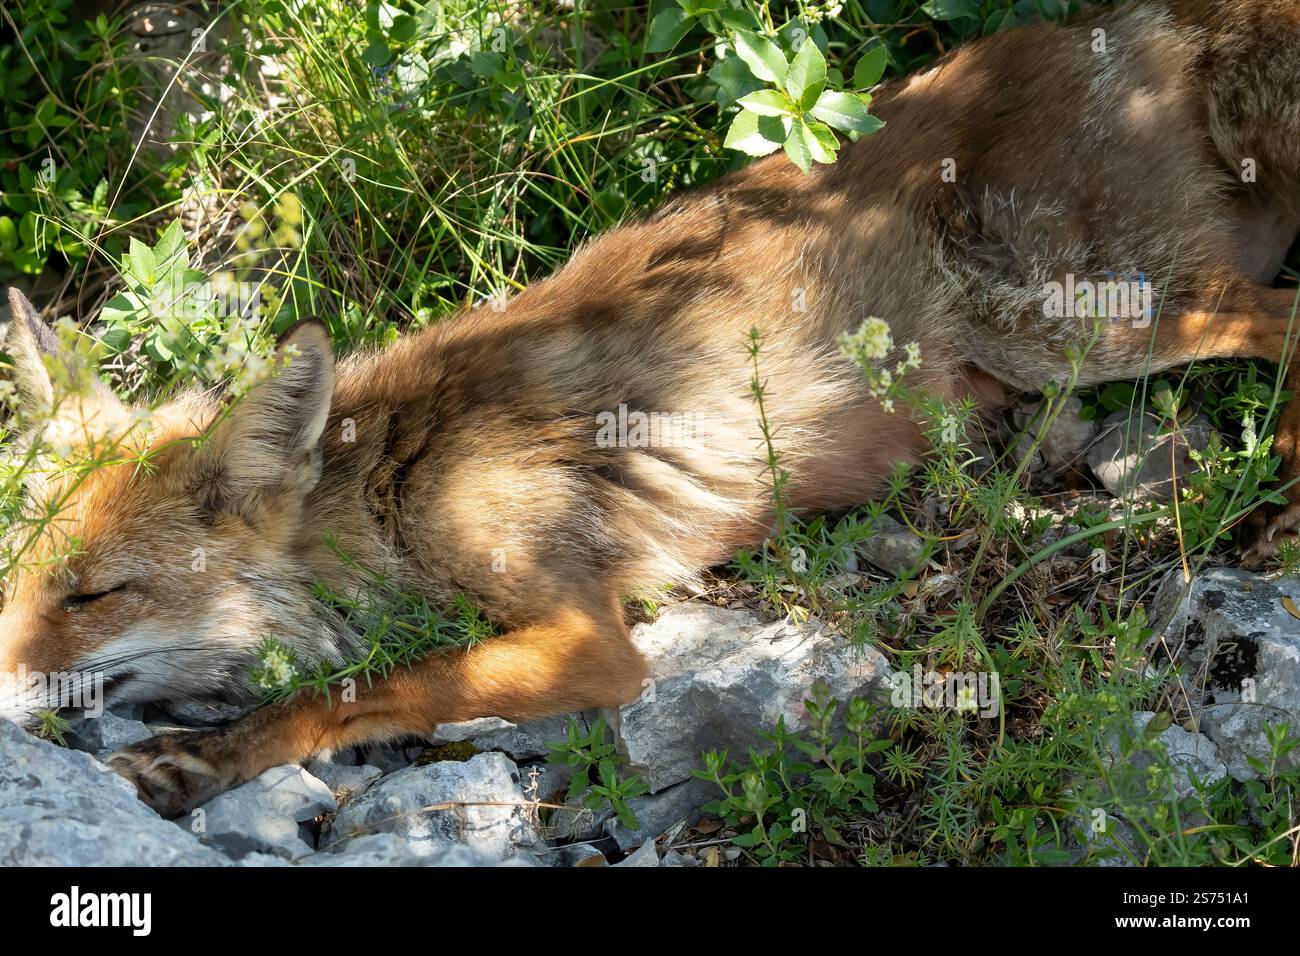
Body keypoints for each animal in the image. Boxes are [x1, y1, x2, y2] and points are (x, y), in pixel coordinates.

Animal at [2, 0, 1300, 817]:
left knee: (1281, 321)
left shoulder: (588, 630)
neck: (393, 497)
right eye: (14, 574)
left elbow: (359, 690)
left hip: (1074, 325)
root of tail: (1133, 20)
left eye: (95, 593)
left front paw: (206, 761)